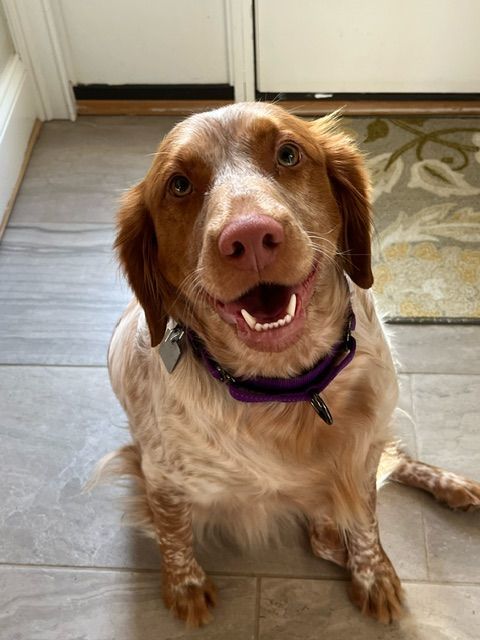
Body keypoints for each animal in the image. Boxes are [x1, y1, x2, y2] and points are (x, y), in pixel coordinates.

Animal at [101, 104, 480, 624]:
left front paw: (373, 573)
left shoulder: (360, 451)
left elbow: (366, 520)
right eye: (178, 185)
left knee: (394, 458)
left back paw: (451, 485)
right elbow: (174, 533)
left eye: (287, 154)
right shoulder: (162, 477)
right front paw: (185, 586)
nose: (249, 236)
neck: (292, 390)